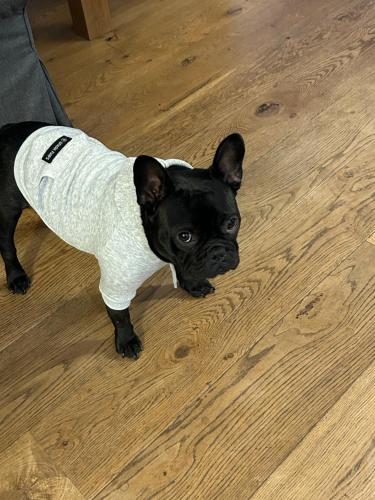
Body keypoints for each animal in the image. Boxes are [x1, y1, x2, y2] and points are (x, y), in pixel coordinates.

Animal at [0, 123, 247, 362]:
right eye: (185, 236)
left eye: (232, 223)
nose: (219, 253)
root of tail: (7, 129)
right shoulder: (116, 283)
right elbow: (120, 315)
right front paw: (126, 340)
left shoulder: (177, 258)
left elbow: (182, 267)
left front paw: (193, 283)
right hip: (7, 213)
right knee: (7, 246)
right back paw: (16, 277)